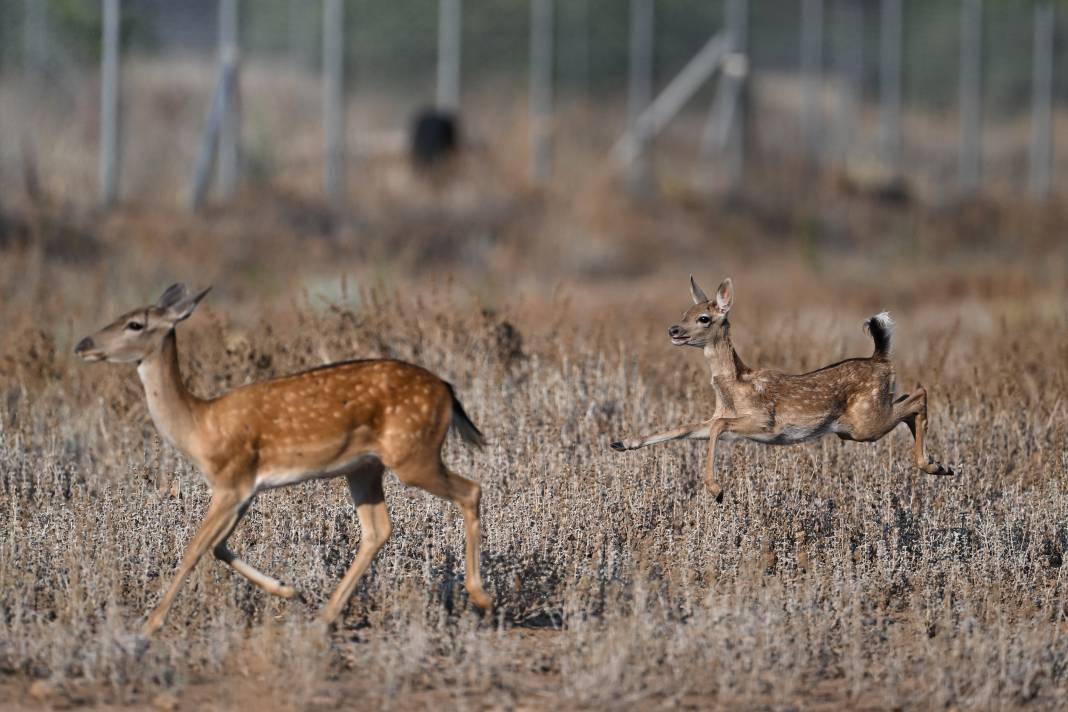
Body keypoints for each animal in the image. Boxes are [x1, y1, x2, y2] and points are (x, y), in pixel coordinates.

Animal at [76, 283, 491, 636]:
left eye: (135, 323)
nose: (83, 344)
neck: (199, 428)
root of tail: (448, 392)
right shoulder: (243, 489)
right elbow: (218, 547)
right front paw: (289, 590)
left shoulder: (231, 480)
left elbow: (194, 549)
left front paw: (149, 627)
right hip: (365, 466)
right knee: (378, 530)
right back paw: (323, 616)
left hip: (413, 454)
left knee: (470, 490)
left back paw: (480, 595)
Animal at [615, 275, 956, 499]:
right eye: (684, 313)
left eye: (703, 318)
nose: (673, 330)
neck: (734, 388)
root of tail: (881, 357)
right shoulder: (720, 416)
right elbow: (687, 427)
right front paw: (623, 442)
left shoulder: (763, 422)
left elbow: (716, 427)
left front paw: (716, 489)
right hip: (858, 424)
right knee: (910, 401)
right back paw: (938, 465)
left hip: (865, 423)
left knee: (919, 395)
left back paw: (937, 466)